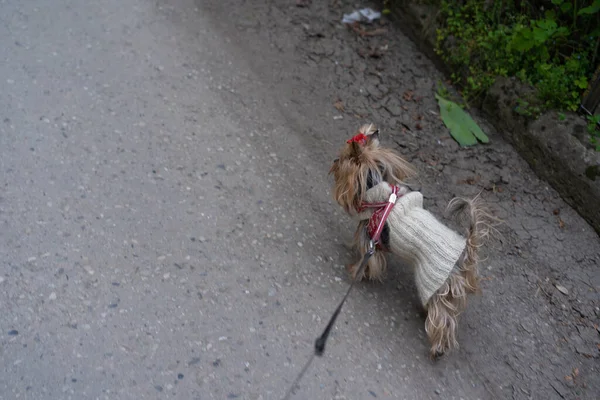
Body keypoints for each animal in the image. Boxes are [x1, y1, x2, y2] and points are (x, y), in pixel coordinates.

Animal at [330, 123, 494, 358]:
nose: (334, 161)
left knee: (442, 318)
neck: (377, 195)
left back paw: (438, 347)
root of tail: (465, 251)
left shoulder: (370, 241)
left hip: (435, 280)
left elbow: (368, 262)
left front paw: (355, 273)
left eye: (342, 159)